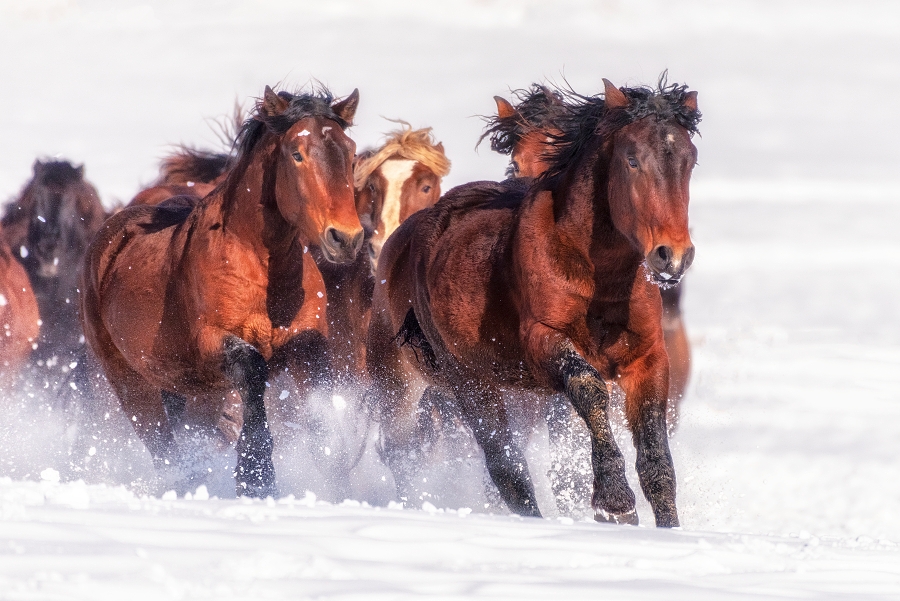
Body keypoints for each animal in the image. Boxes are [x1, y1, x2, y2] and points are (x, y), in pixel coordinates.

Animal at [81, 85, 362, 496]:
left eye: (351, 152)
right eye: (297, 153)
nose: (345, 238)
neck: (259, 269)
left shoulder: (308, 345)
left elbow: (324, 407)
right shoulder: (211, 341)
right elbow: (253, 371)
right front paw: (255, 475)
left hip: (199, 392)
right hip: (131, 384)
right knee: (164, 448)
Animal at [370, 78, 700, 524]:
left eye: (690, 161)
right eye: (632, 160)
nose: (672, 255)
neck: (599, 278)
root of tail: (402, 239)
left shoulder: (648, 357)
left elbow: (655, 455)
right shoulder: (542, 340)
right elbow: (587, 386)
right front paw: (613, 500)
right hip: (453, 384)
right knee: (486, 465)